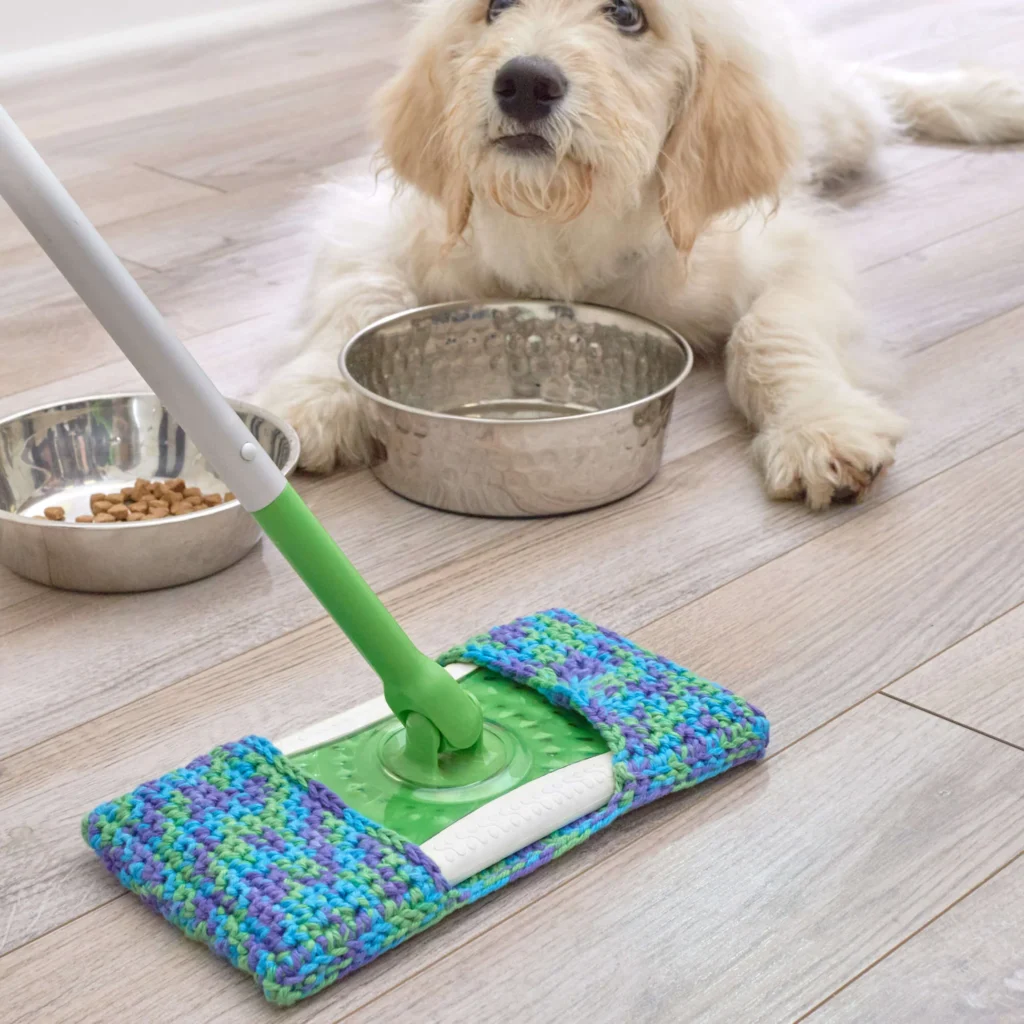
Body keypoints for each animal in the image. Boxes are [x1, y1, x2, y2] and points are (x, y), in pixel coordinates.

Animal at [258, 0, 1024, 507]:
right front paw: (308, 401)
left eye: (626, 15)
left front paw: (819, 426)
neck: (564, 221)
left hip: (839, 121)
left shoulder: (790, 251)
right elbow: (357, 300)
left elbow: (770, 331)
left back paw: (990, 101)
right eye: (496, 7)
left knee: (871, 83)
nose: (524, 82)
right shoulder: (370, 226)